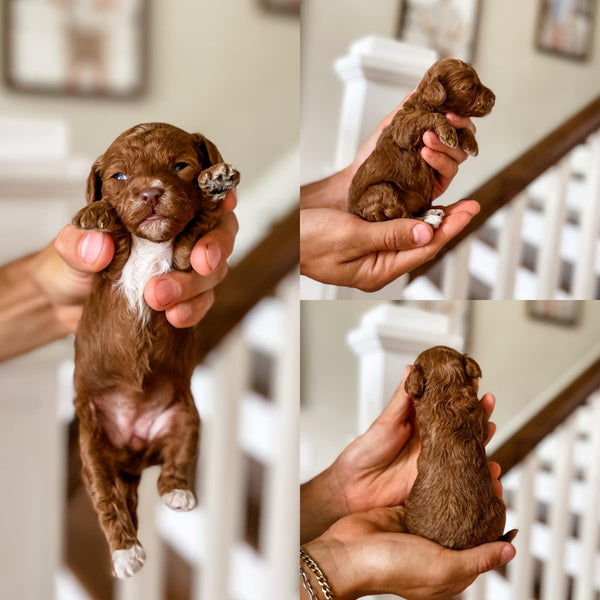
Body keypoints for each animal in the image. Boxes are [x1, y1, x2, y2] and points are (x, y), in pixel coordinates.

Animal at [71, 122, 239, 576]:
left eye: (180, 166)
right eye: (119, 177)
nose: (149, 193)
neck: (150, 245)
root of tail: (132, 456)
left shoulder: (184, 260)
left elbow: (198, 224)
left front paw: (215, 184)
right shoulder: (108, 269)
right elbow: (113, 241)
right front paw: (96, 214)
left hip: (184, 418)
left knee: (174, 467)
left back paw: (177, 494)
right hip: (92, 447)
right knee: (107, 499)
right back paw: (125, 551)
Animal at [350, 58, 494, 225]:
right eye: (470, 87)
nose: (494, 98)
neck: (426, 103)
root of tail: (354, 211)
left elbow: (459, 127)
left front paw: (471, 143)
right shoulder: (403, 130)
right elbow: (430, 117)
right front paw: (448, 133)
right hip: (382, 190)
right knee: (403, 216)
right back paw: (429, 219)